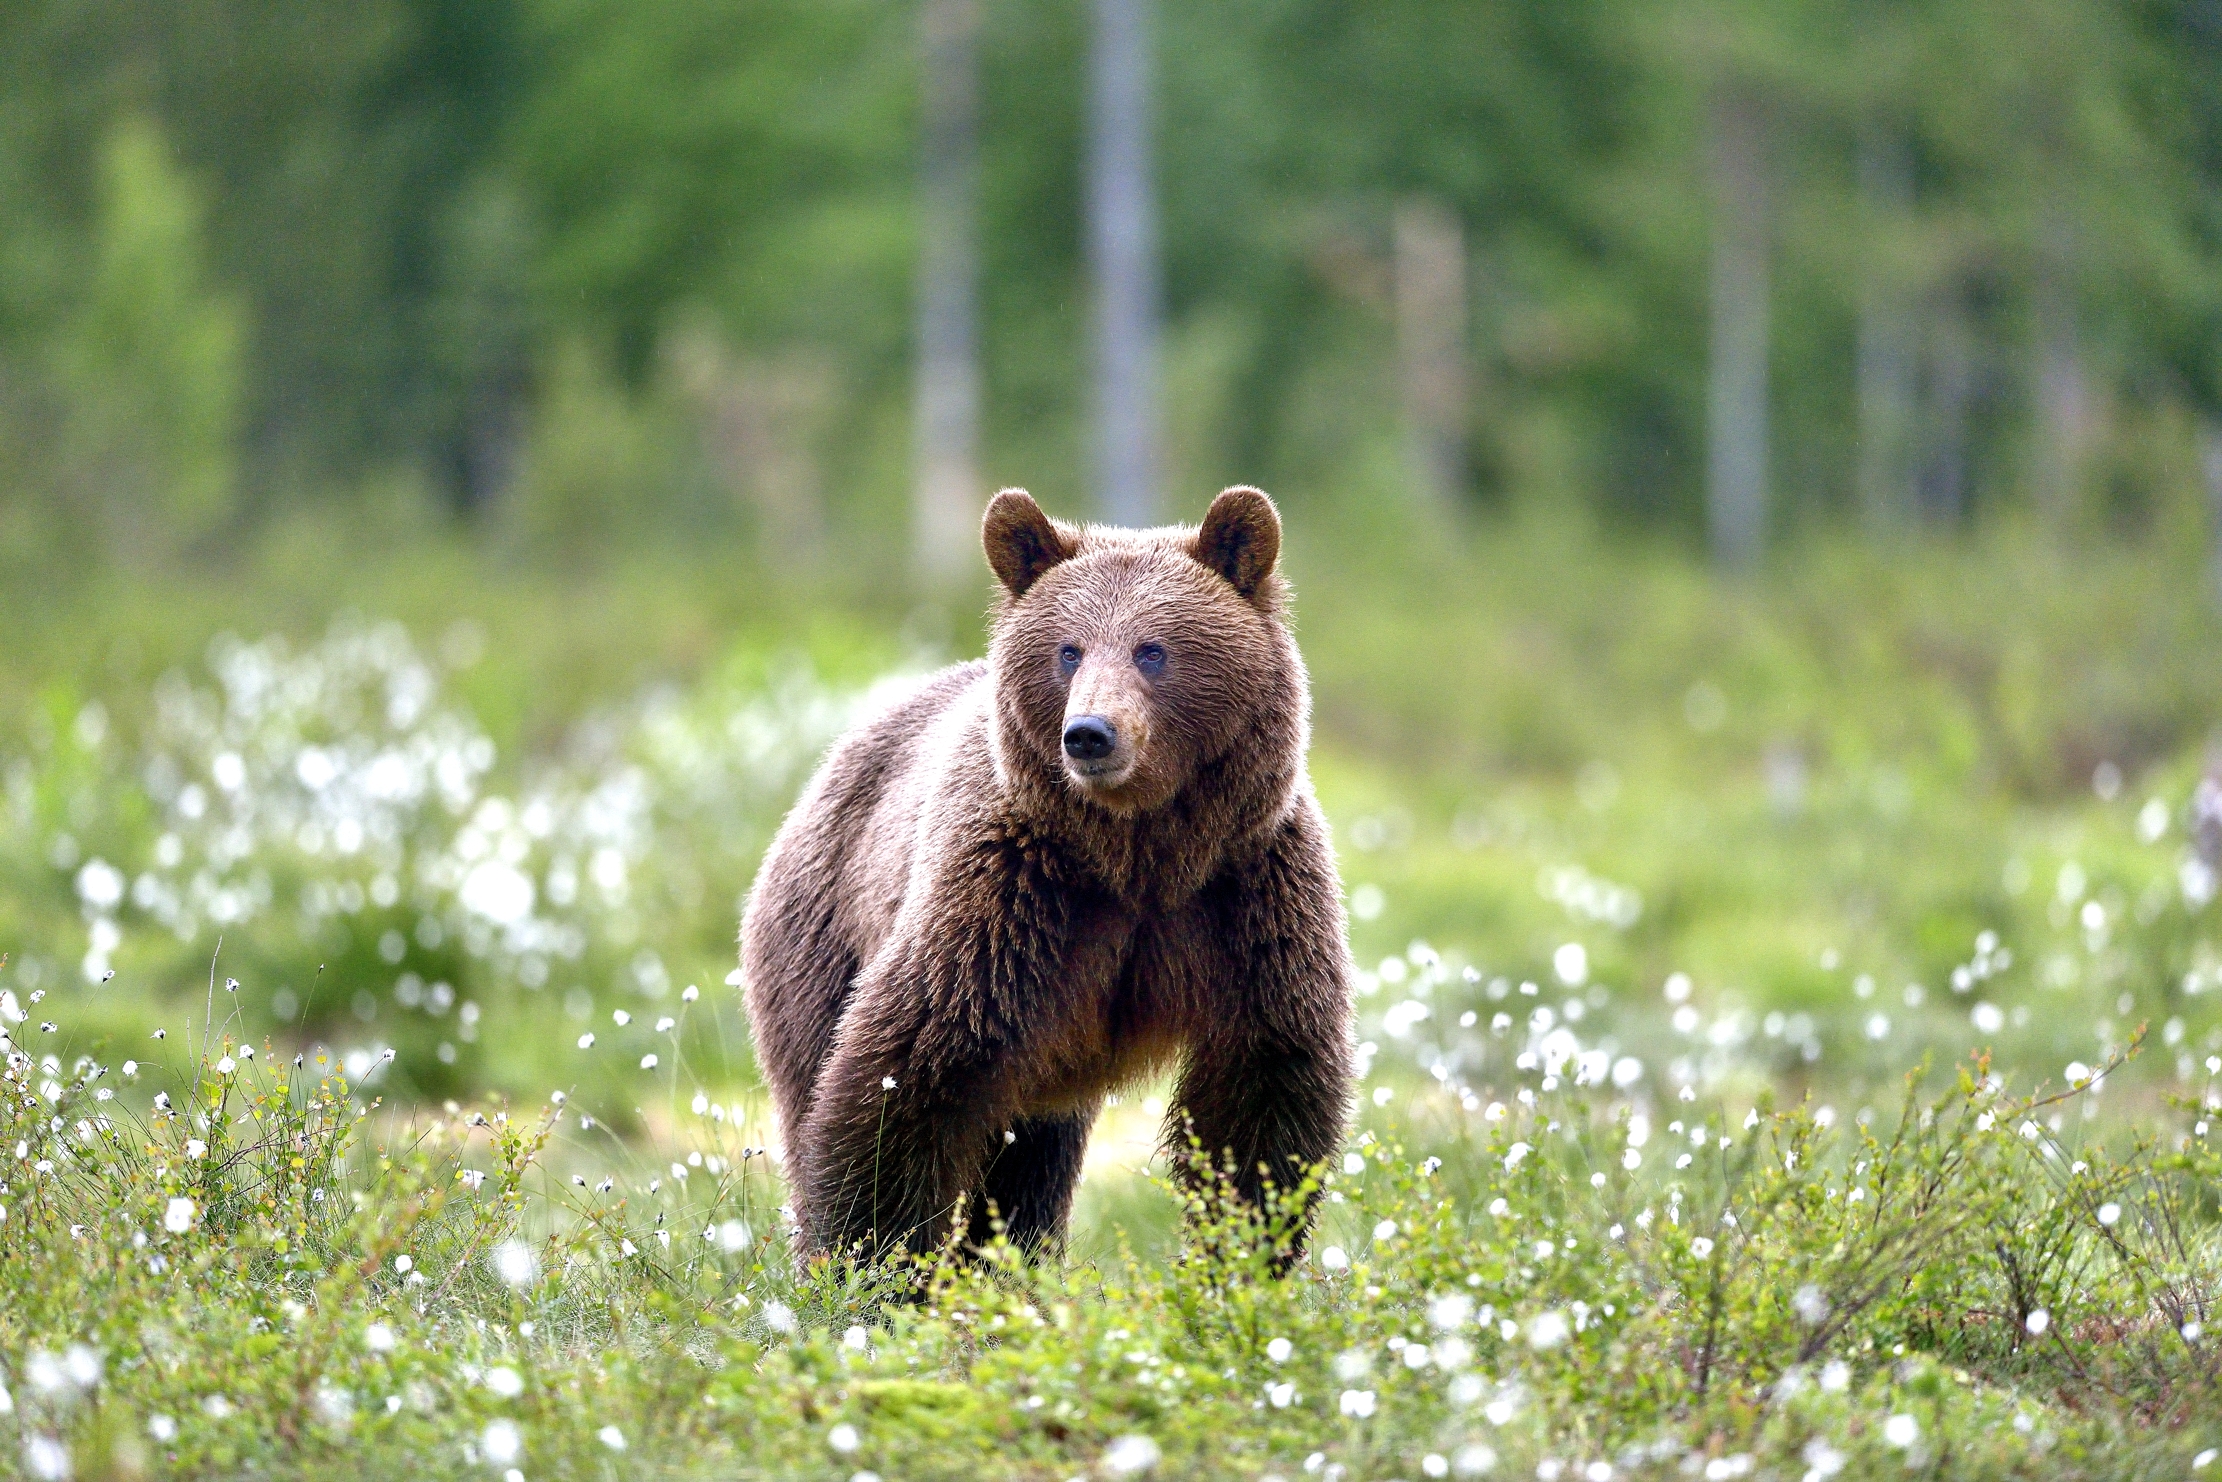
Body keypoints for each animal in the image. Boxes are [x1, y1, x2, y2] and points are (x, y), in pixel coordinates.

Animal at [740, 485, 1354, 1264]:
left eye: (1152, 650)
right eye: (1068, 649)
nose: (1090, 733)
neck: (1138, 853)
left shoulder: (1246, 893)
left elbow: (1264, 1089)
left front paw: (1243, 1248)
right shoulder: (1011, 892)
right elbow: (910, 1065)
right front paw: (873, 1259)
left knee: (1030, 1159)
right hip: (822, 933)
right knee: (816, 1070)